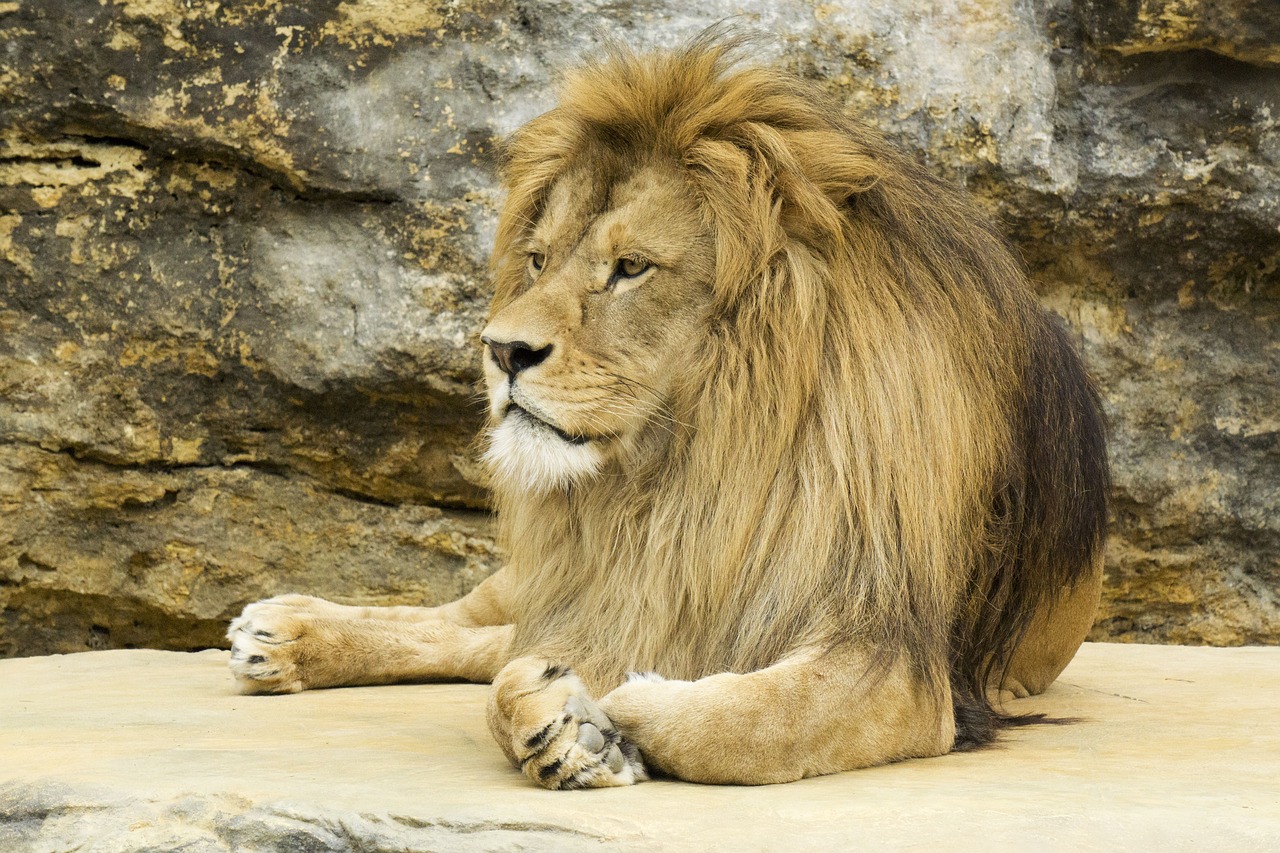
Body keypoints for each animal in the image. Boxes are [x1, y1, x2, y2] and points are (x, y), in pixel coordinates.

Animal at [227, 36, 1111, 788]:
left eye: (630, 268)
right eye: (537, 260)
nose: (500, 350)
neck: (688, 468)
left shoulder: (898, 663)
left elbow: (743, 723)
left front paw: (607, 711)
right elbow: (513, 677)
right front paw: (566, 722)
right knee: (472, 623)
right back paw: (286, 629)